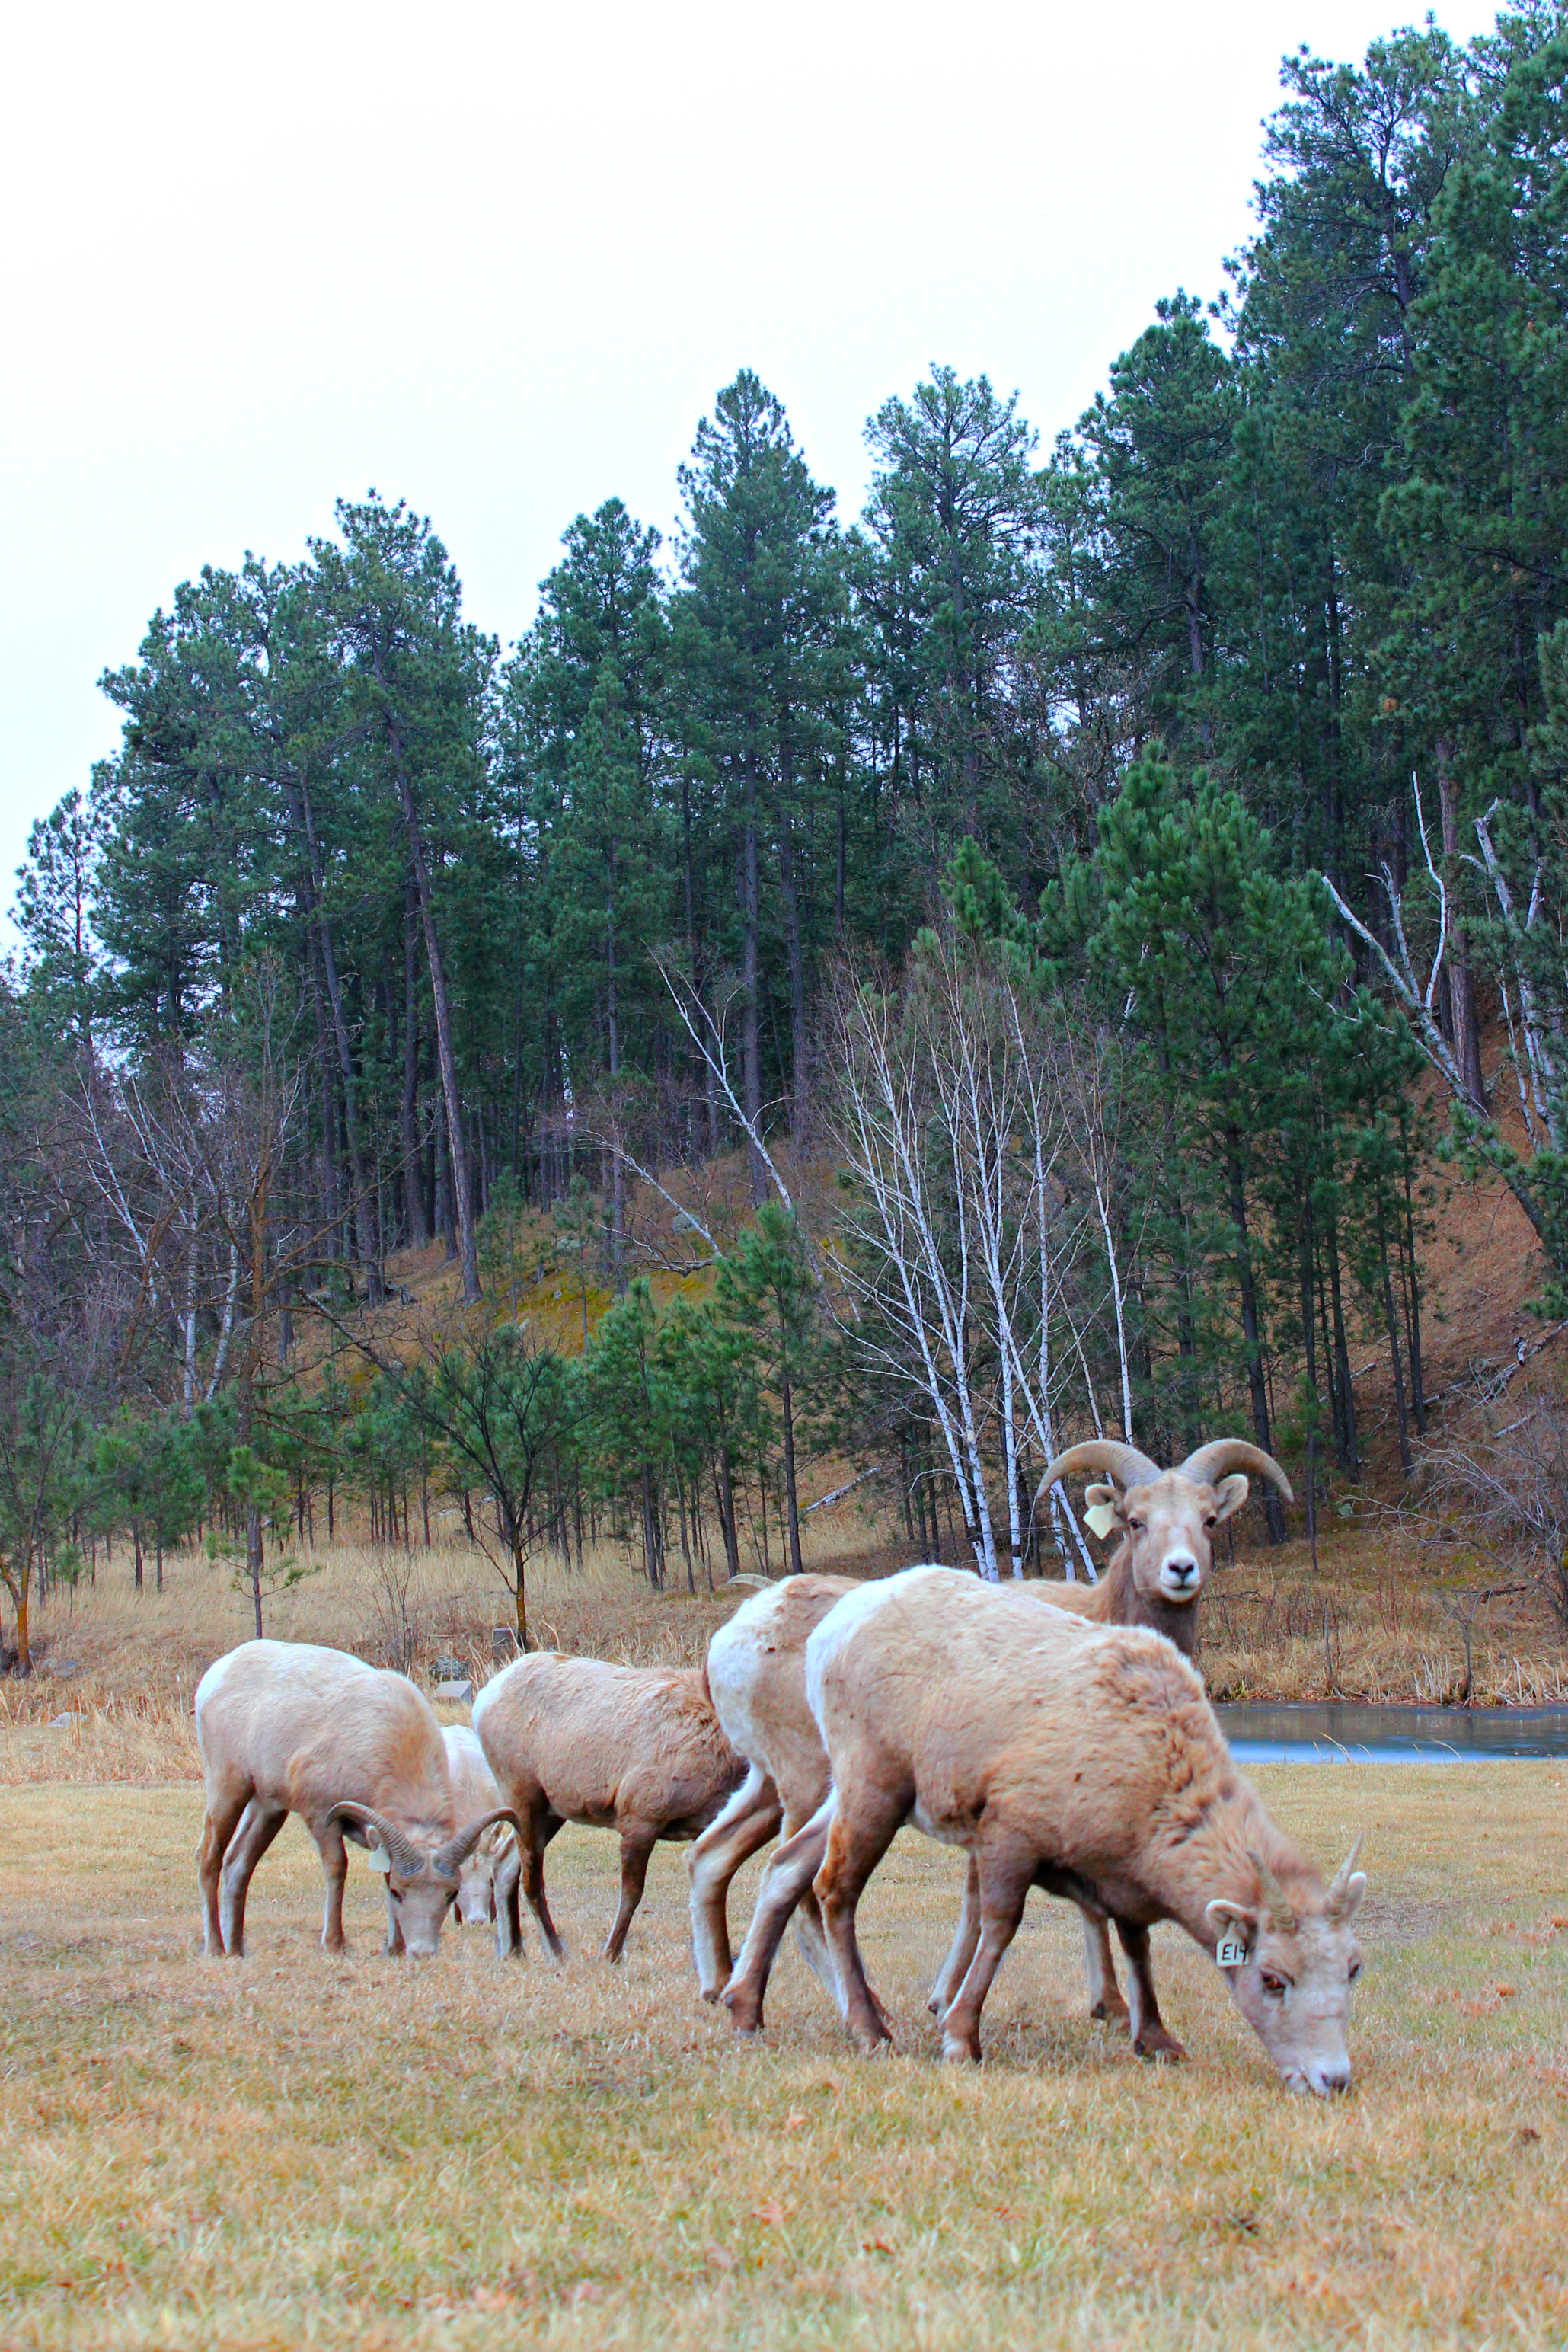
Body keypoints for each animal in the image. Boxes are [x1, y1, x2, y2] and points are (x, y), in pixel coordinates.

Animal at [193, 1646, 517, 1957]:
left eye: (450, 1894)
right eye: (400, 1893)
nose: (422, 1951)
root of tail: (216, 1674)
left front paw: (394, 1949)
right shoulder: (321, 1814)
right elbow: (337, 1867)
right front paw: (334, 1944)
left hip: (268, 1809)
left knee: (238, 1865)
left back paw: (237, 1949)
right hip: (228, 1790)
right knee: (208, 1857)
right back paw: (215, 1948)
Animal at [472, 1655, 747, 1966]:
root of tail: (483, 1698)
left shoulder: (704, 1825)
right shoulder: (639, 1815)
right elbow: (632, 1893)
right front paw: (610, 1954)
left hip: (552, 1810)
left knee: (504, 1861)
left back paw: (515, 1950)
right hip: (522, 1793)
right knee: (531, 1880)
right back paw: (555, 1951)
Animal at [686, 1420, 1288, 2050]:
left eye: (1208, 1520)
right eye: (1135, 1520)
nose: (1180, 1570)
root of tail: (733, 1635)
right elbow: (1011, 1906)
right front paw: (1095, 2007)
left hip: (771, 1784)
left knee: (724, 1860)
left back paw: (731, 1994)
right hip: (814, 1783)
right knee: (808, 1889)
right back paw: (862, 2017)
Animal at [723, 1580, 1363, 2098]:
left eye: (1353, 1969)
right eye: (1272, 1979)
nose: (1332, 2079)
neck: (1152, 1785)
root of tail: (831, 1632)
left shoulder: (1114, 1879)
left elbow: (1135, 1944)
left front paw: (1156, 2039)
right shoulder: (1010, 1834)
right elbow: (998, 1928)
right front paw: (959, 2038)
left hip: (849, 1792)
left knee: (784, 1867)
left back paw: (744, 2008)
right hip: (873, 1784)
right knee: (835, 1888)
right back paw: (867, 2029)